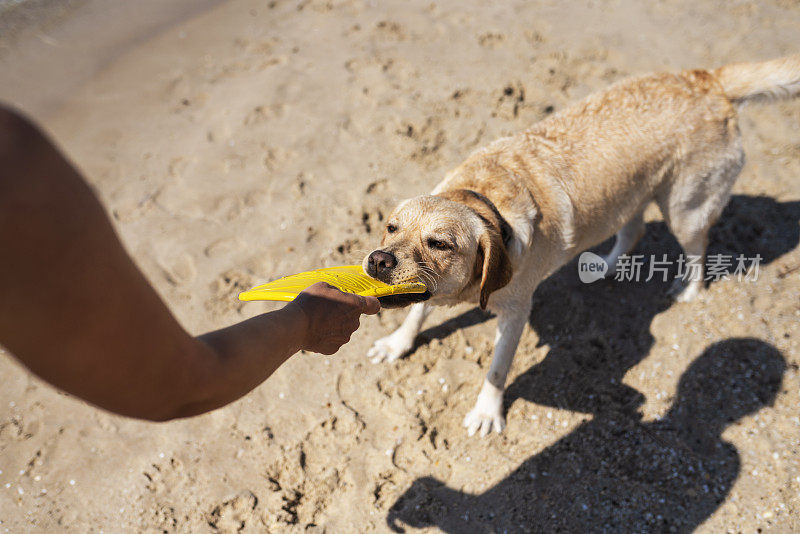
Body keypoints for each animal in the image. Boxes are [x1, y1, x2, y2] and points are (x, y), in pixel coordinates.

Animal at [364, 55, 800, 440]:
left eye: (439, 243)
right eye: (390, 227)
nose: (379, 259)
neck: (484, 199)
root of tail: (707, 78)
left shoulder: (516, 313)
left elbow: (497, 369)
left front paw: (487, 411)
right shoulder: (429, 287)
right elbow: (416, 313)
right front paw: (396, 343)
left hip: (685, 208)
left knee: (698, 250)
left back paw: (687, 289)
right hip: (628, 196)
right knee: (633, 230)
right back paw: (604, 266)